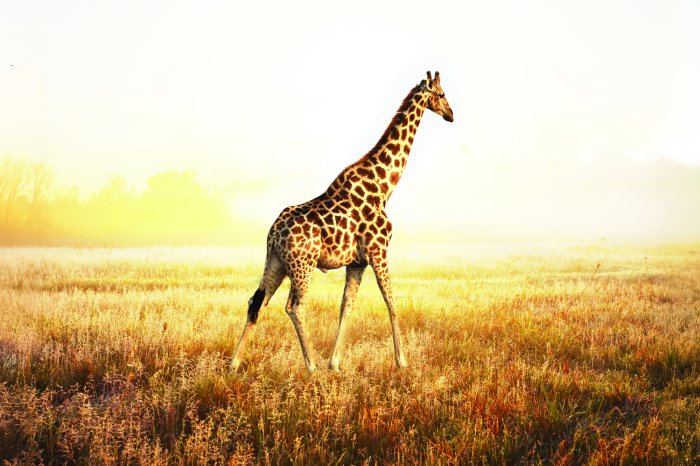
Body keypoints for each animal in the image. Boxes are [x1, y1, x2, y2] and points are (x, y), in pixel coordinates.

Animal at [230, 71, 454, 372]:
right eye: (442, 94)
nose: (451, 114)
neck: (384, 186)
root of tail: (273, 232)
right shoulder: (378, 251)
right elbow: (391, 300)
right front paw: (402, 361)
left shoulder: (357, 261)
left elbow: (346, 305)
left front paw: (335, 363)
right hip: (302, 265)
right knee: (294, 306)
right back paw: (310, 365)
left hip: (276, 261)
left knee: (257, 302)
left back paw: (234, 363)